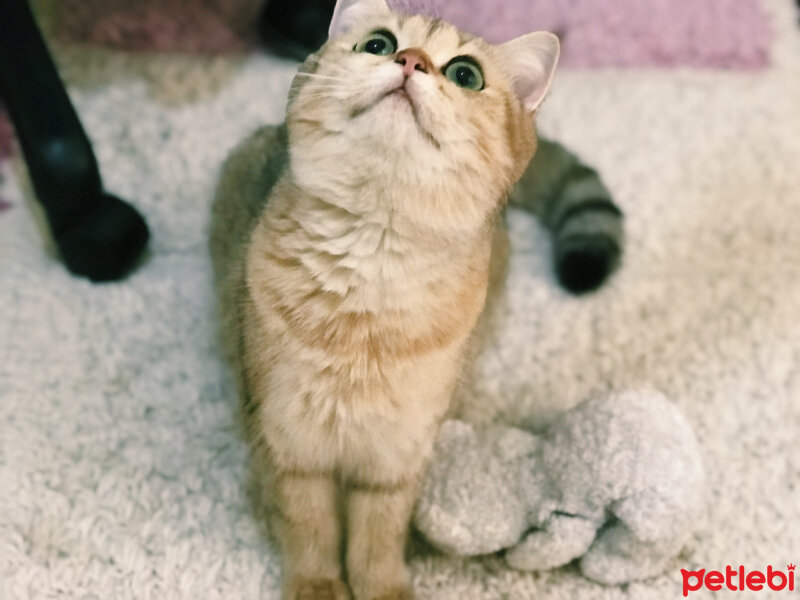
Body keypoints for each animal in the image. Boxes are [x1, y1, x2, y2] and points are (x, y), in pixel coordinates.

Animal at [212, 0, 624, 596]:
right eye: (379, 44)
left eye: (465, 75)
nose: (409, 60)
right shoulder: (288, 444)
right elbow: (309, 530)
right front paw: (317, 585)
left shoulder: (399, 457)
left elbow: (378, 540)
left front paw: (381, 586)